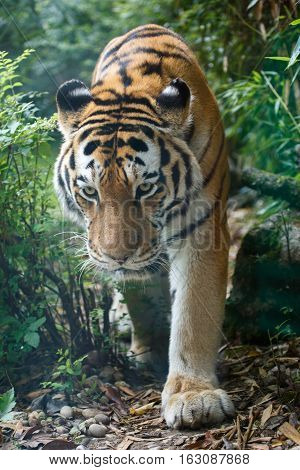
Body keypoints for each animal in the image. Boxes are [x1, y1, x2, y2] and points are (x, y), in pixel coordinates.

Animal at [55, 23, 236, 430]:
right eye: (89, 191)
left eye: (146, 188)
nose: (116, 256)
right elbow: (140, 297)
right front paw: (149, 349)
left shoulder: (203, 230)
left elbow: (193, 314)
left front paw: (193, 397)